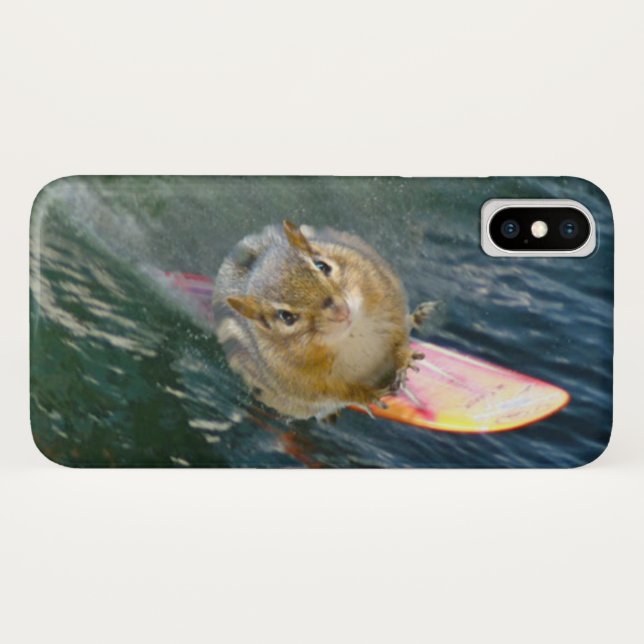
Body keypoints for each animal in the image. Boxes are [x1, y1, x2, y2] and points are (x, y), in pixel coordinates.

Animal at [212, 220, 433, 421]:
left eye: (322, 266)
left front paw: (404, 357)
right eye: (286, 316)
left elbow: (399, 335)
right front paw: (366, 395)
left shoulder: (387, 296)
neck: (351, 334)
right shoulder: (303, 382)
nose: (339, 310)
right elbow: (337, 394)